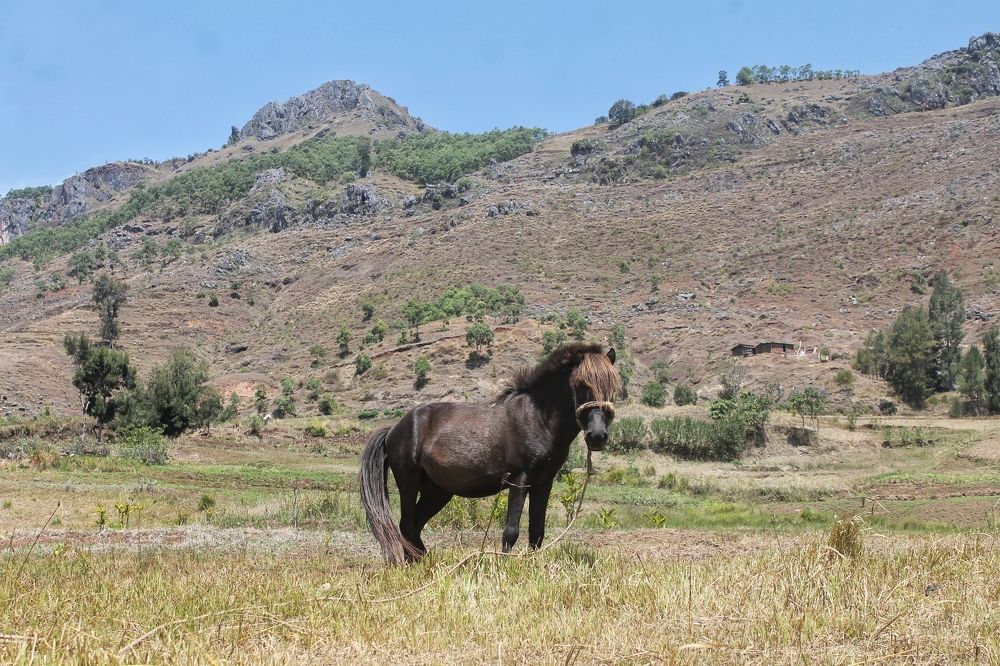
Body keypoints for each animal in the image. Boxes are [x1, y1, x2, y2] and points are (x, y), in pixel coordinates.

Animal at [359, 343, 621, 564]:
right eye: (582, 385)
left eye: (612, 388)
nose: (597, 437)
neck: (537, 418)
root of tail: (393, 429)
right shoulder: (519, 479)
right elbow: (511, 530)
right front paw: (505, 568)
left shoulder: (543, 483)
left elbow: (537, 531)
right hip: (409, 483)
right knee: (406, 525)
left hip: (437, 491)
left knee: (414, 525)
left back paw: (423, 562)